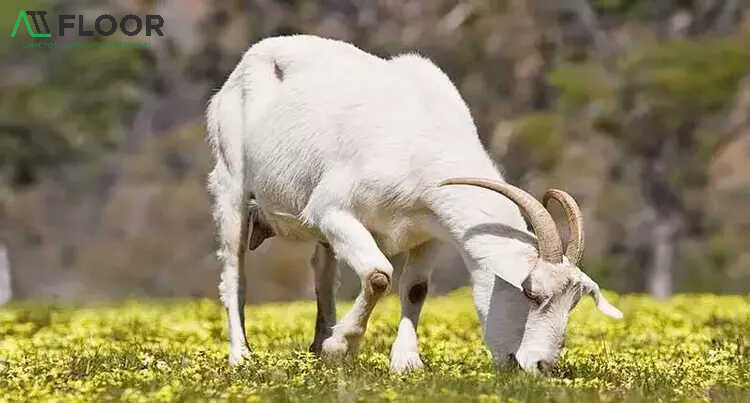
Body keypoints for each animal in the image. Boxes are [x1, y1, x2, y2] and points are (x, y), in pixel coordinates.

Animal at [206, 35, 622, 374]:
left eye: (574, 303)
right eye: (532, 294)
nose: (540, 365)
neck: (422, 141)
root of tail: (248, 61)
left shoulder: (430, 232)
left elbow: (415, 288)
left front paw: (406, 362)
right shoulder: (332, 210)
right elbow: (378, 276)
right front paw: (342, 347)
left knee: (322, 272)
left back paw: (317, 345)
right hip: (232, 185)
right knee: (235, 273)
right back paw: (242, 355)